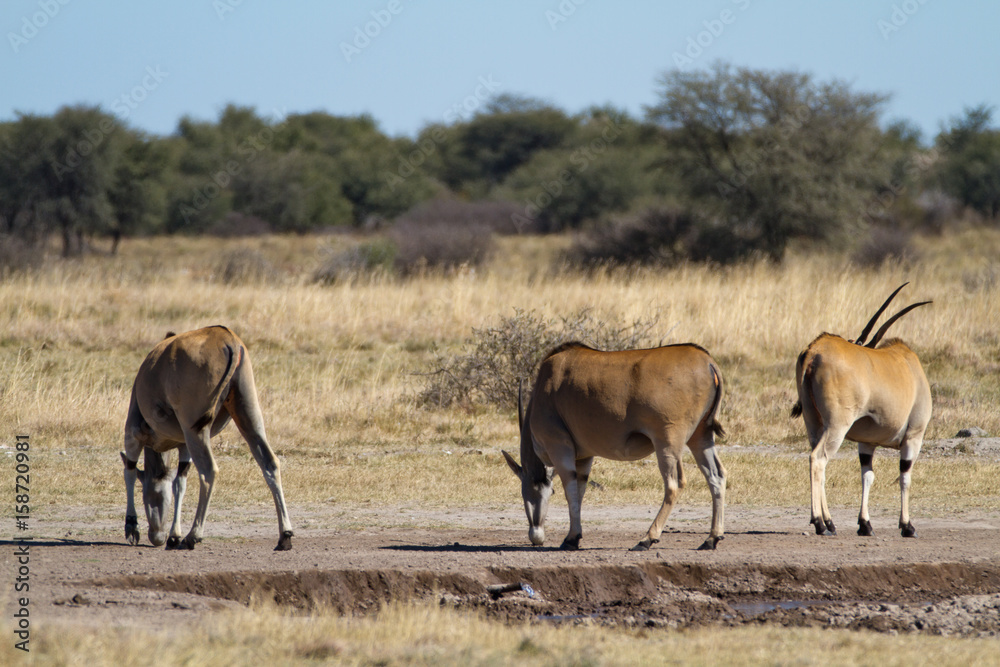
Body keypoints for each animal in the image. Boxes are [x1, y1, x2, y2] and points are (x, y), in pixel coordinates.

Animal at [121, 326, 294, 551]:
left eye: (147, 497)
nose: (156, 537)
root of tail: (228, 339)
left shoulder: (133, 434)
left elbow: (130, 472)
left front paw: (132, 528)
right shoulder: (184, 446)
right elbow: (180, 482)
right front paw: (174, 536)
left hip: (196, 430)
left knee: (209, 471)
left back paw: (193, 536)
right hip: (248, 416)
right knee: (270, 463)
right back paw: (285, 535)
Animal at [503, 342, 726, 551]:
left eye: (525, 491)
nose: (536, 536)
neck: (545, 387)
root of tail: (708, 363)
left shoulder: (559, 446)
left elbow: (570, 489)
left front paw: (571, 538)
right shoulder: (584, 456)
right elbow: (580, 489)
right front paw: (575, 537)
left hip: (667, 443)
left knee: (674, 483)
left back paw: (647, 539)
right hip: (701, 437)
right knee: (716, 475)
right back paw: (711, 538)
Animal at [792, 283, 931, 538]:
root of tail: (813, 352)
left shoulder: (866, 443)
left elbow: (867, 476)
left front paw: (865, 524)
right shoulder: (913, 436)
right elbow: (905, 478)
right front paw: (907, 526)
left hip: (814, 423)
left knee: (819, 462)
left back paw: (829, 522)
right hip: (837, 425)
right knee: (818, 459)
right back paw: (819, 523)